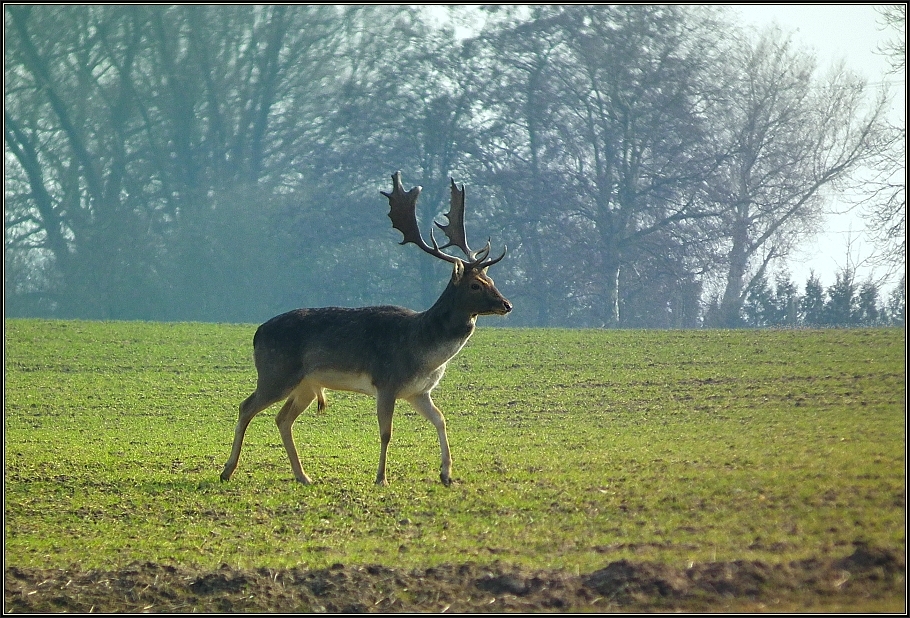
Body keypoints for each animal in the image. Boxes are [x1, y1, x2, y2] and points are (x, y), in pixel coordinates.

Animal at [217, 171, 510, 484]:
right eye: (475, 284)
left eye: (491, 280)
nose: (506, 304)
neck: (423, 351)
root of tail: (257, 333)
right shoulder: (387, 382)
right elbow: (386, 433)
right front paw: (381, 477)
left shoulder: (418, 392)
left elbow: (441, 420)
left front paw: (446, 475)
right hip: (276, 373)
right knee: (246, 406)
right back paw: (227, 470)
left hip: (305, 384)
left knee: (282, 418)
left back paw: (303, 476)